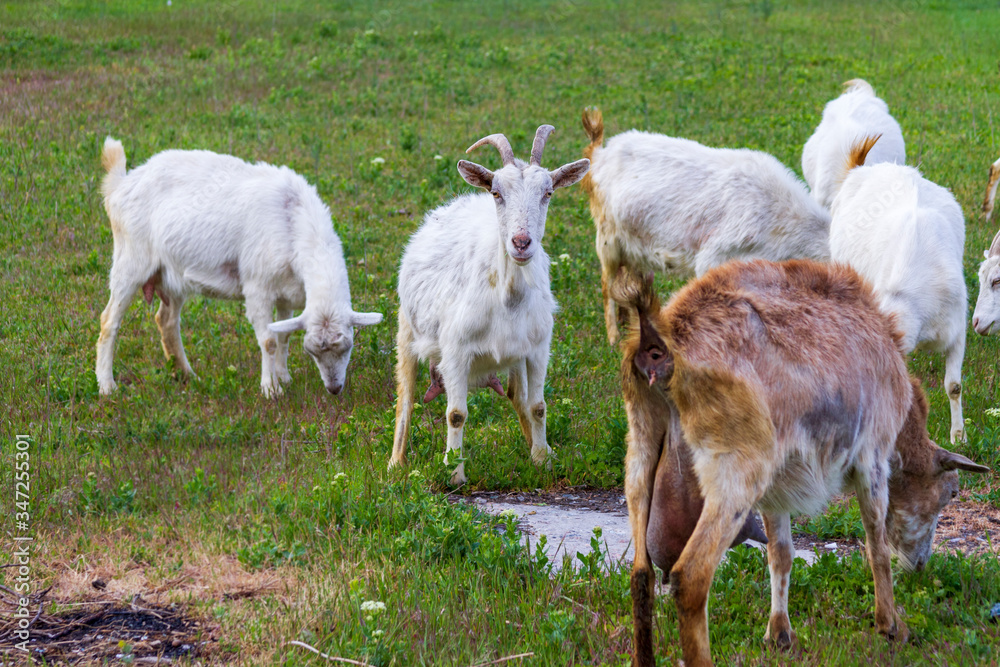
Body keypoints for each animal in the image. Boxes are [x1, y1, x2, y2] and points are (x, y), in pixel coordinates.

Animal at [96, 138, 382, 398]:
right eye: (311, 351)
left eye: (348, 347)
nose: (334, 389)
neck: (294, 220)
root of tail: (120, 183)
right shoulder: (257, 289)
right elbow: (268, 341)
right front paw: (271, 389)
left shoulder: (286, 293)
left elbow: (283, 337)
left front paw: (284, 377)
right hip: (130, 259)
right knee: (109, 320)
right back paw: (107, 386)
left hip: (172, 274)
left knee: (166, 320)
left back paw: (187, 375)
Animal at [389, 126, 590, 484]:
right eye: (497, 192)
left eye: (548, 192)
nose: (521, 243)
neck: (507, 299)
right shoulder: (455, 351)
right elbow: (456, 414)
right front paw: (454, 473)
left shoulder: (538, 347)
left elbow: (537, 406)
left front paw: (543, 461)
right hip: (407, 329)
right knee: (406, 396)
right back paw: (396, 463)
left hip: (515, 356)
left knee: (517, 397)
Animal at [612, 261, 987, 667]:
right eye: (950, 493)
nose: (920, 565)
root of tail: (658, 346)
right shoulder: (872, 455)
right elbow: (876, 543)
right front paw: (890, 626)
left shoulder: (776, 489)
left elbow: (781, 554)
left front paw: (780, 635)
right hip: (735, 470)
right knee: (691, 575)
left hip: (640, 452)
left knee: (641, 574)